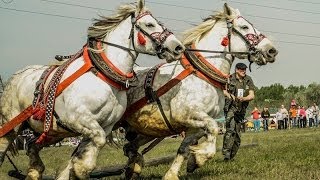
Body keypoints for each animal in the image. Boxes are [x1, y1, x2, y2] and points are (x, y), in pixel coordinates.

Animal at [0, 0, 184, 179]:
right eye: (149, 24)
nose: (178, 47)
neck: (103, 77)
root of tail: (14, 78)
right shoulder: (78, 119)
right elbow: (95, 146)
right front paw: (77, 170)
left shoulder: (105, 125)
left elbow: (84, 152)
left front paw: (73, 170)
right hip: (11, 127)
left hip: (50, 132)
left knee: (32, 146)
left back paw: (34, 171)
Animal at [117, 3, 278, 179]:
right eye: (244, 27)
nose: (271, 50)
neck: (201, 74)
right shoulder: (187, 115)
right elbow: (213, 129)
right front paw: (200, 156)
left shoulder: (195, 126)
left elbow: (184, 148)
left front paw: (182, 168)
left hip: (149, 129)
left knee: (130, 147)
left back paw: (133, 167)